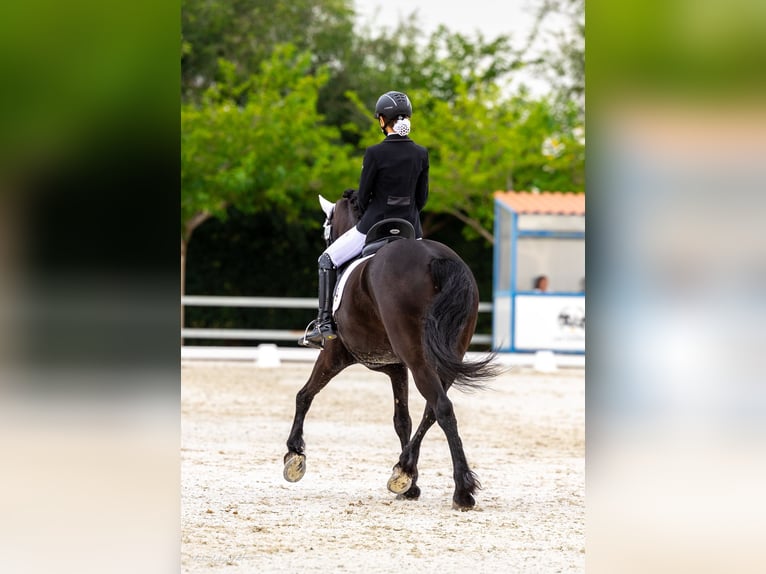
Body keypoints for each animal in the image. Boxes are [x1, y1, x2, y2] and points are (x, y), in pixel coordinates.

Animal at [283, 189, 499, 510]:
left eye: (325, 226)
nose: (327, 239)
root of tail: (436, 258)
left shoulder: (334, 354)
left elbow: (304, 395)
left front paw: (295, 455)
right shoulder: (396, 368)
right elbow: (402, 420)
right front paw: (409, 483)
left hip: (417, 356)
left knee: (442, 408)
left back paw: (461, 491)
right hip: (446, 356)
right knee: (433, 410)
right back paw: (405, 471)